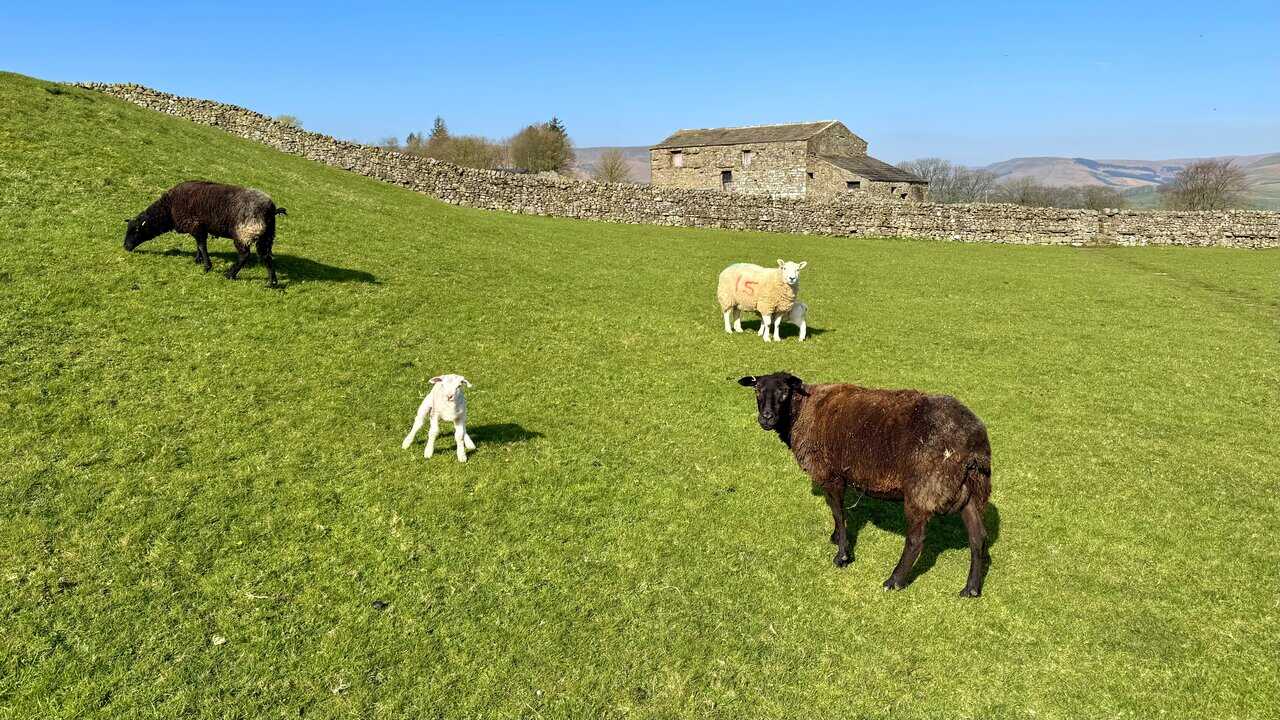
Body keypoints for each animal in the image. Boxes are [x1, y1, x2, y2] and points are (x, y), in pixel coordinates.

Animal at [124, 180, 286, 286]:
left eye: (135, 231)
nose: (125, 247)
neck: (168, 209)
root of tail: (270, 209)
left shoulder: (195, 225)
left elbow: (202, 245)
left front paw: (207, 266)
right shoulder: (200, 227)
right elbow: (199, 245)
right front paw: (198, 259)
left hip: (244, 232)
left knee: (244, 255)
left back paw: (230, 275)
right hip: (267, 235)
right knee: (266, 256)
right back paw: (272, 282)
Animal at [737, 372, 992, 596]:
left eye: (784, 391)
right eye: (757, 390)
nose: (766, 418)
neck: (802, 410)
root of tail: (974, 447)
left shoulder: (831, 474)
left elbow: (838, 512)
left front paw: (842, 555)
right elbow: (837, 514)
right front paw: (836, 537)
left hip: (924, 488)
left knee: (916, 540)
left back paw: (894, 580)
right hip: (970, 490)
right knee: (978, 537)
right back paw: (971, 588)